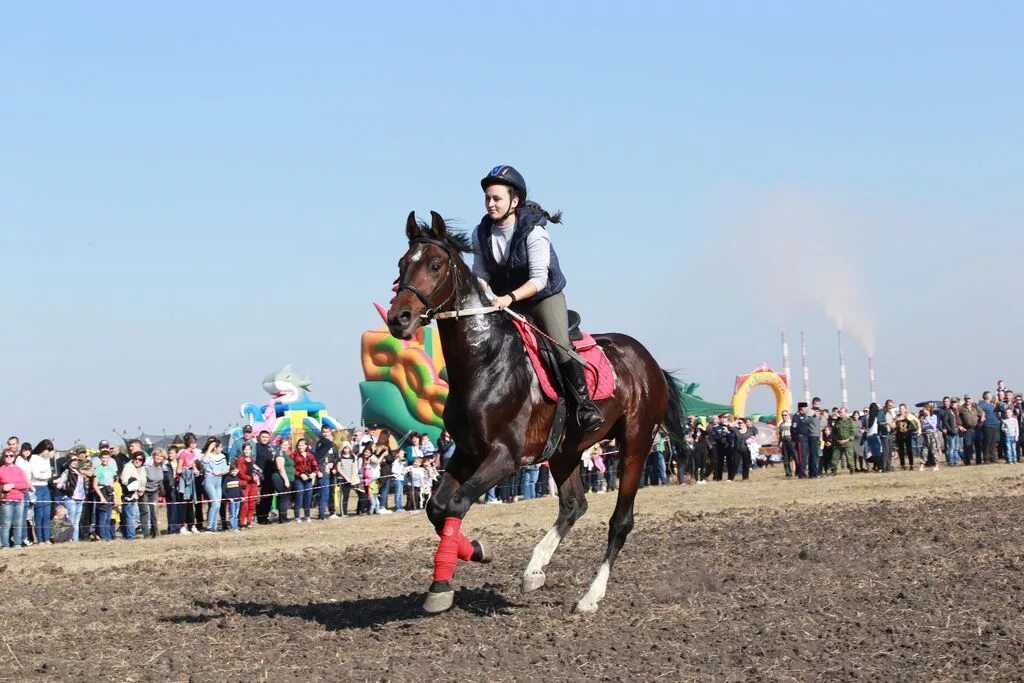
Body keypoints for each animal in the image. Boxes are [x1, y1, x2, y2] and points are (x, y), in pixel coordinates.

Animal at [387, 209, 684, 614]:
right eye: (402, 264)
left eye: (435, 265)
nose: (398, 319)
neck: (483, 362)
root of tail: (650, 362)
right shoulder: (467, 451)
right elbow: (437, 508)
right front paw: (477, 550)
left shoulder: (505, 456)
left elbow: (457, 503)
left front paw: (441, 586)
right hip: (565, 450)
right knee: (573, 505)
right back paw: (534, 571)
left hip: (635, 444)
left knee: (620, 521)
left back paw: (590, 596)